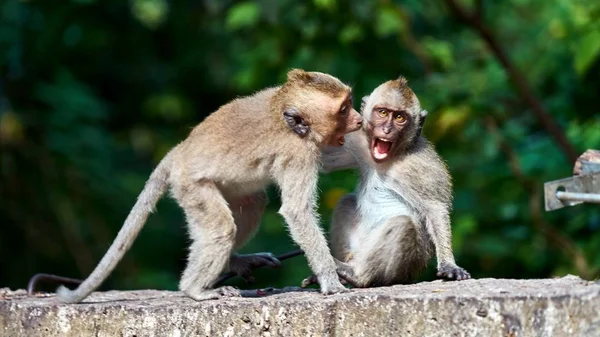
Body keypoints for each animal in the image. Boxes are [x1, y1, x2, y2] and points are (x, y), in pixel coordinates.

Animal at [57, 69, 360, 302]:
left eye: (350, 104)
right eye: (344, 109)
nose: (358, 119)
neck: (281, 110)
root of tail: (178, 153)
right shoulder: (299, 152)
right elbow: (297, 212)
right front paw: (331, 280)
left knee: (253, 202)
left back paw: (233, 261)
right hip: (191, 187)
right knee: (221, 227)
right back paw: (194, 289)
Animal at [304, 77, 468, 288]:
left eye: (399, 117)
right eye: (382, 112)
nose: (387, 129)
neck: (390, 158)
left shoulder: (419, 166)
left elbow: (435, 209)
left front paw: (449, 264)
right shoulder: (358, 143)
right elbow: (323, 159)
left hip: (404, 268)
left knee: (402, 224)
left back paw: (357, 275)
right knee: (346, 202)